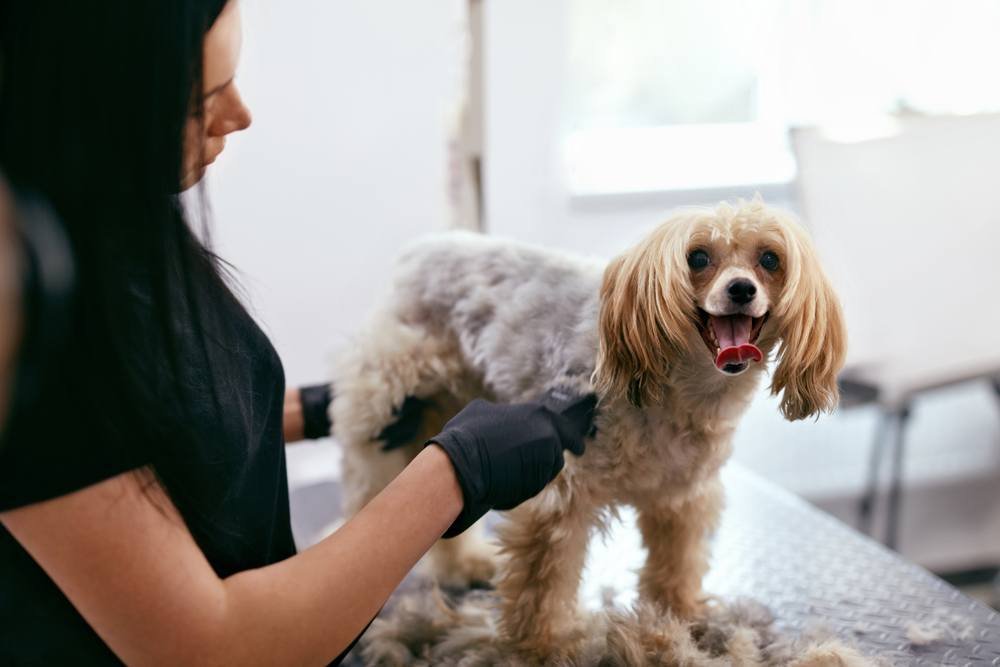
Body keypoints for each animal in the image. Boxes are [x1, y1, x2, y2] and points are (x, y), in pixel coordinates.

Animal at [332, 197, 848, 656]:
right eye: (698, 257)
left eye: (769, 259)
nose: (742, 289)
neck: (680, 391)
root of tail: (434, 244)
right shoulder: (559, 495)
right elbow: (542, 583)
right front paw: (540, 647)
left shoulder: (682, 496)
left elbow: (676, 563)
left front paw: (680, 617)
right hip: (386, 403)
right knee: (374, 485)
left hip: (445, 408)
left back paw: (463, 563)